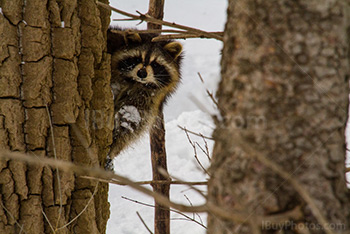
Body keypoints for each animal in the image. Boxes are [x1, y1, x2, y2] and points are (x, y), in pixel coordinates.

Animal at [106, 27, 183, 159]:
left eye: (155, 64)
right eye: (137, 59)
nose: (142, 73)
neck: (135, 82)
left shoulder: (149, 95)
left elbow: (132, 118)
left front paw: (115, 144)